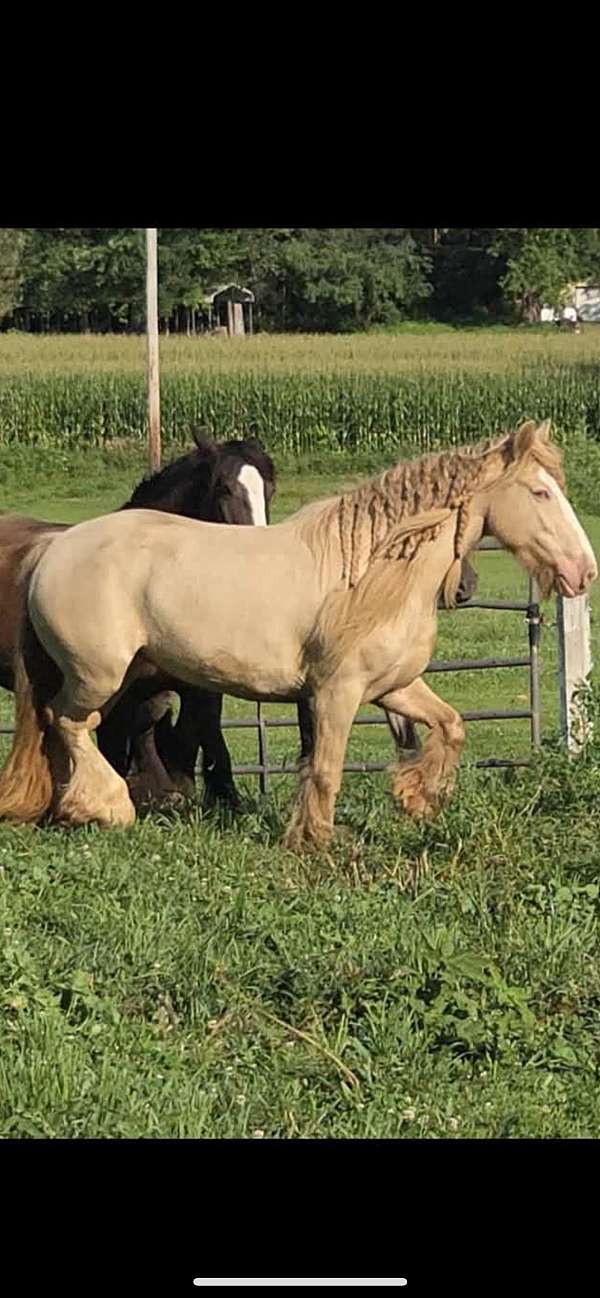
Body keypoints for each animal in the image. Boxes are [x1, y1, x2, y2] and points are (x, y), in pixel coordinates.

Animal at [3, 420, 564, 850]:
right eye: (540, 493)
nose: (578, 571)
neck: (364, 572)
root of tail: (52, 551)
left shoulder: (386, 686)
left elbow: (444, 726)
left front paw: (417, 798)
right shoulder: (331, 692)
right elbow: (319, 762)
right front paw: (318, 837)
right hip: (98, 675)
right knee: (66, 721)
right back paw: (104, 805)